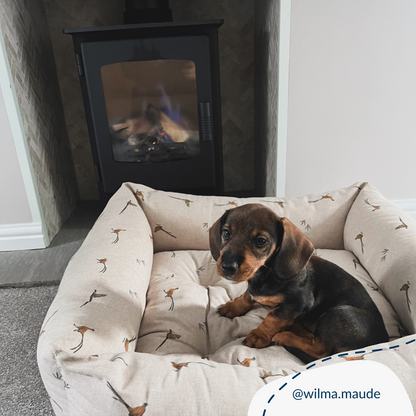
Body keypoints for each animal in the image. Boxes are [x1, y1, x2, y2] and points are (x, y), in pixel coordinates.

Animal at [209, 203, 389, 363]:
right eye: (226, 233)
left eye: (260, 240)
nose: (227, 267)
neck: (265, 274)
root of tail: (383, 338)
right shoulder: (254, 290)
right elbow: (247, 296)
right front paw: (233, 307)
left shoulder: (297, 303)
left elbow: (272, 319)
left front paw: (259, 335)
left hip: (339, 314)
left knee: (320, 349)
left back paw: (285, 336)